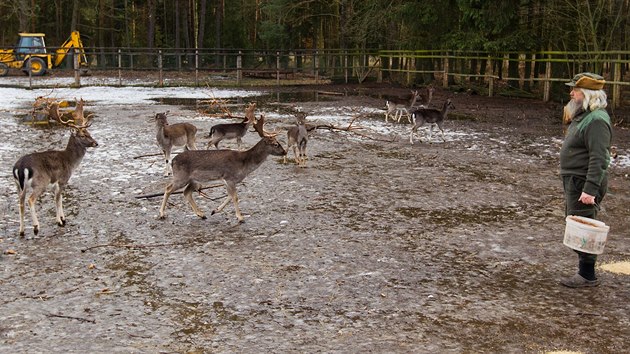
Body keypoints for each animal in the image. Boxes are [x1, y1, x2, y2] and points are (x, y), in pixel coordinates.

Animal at [12, 99, 99, 236]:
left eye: (88, 133)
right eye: (82, 135)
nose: (96, 143)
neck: (70, 162)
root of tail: (20, 167)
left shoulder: (56, 184)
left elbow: (60, 198)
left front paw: (63, 218)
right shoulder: (63, 179)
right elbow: (57, 200)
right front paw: (60, 221)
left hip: (18, 185)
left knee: (20, 202)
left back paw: (21, 231)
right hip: (40, 182)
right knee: (30, 200)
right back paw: (36, 227)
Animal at [158, 115, 286, 223]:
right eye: (275, 144)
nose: (285, 152)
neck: (244, 164)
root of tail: (173, 161)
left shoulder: (228, 180)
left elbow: (229, 196)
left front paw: (215, 210)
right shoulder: (229, 177)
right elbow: (235, 197)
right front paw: (240, 217)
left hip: (193, 180)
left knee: (186, 192)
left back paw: (201, 214)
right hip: (181, 176)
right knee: (168, 188)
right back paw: (162, 214)